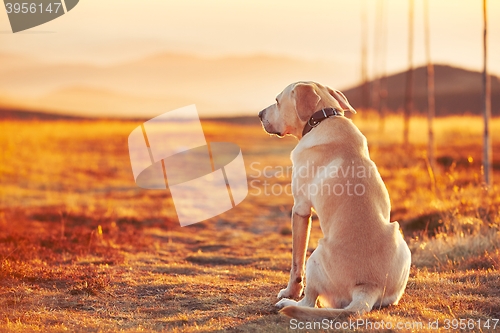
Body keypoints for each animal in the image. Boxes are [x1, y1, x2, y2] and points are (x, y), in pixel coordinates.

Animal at [258, 80, 410, 320]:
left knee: (309, 301)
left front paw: (289, 291)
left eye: (277, 101)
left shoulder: (300, 209)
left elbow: (295, 264)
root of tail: (368, 287)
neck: (322, 119)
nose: (259, 114)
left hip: (315, 258)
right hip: (402, 243)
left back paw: (288, 302)